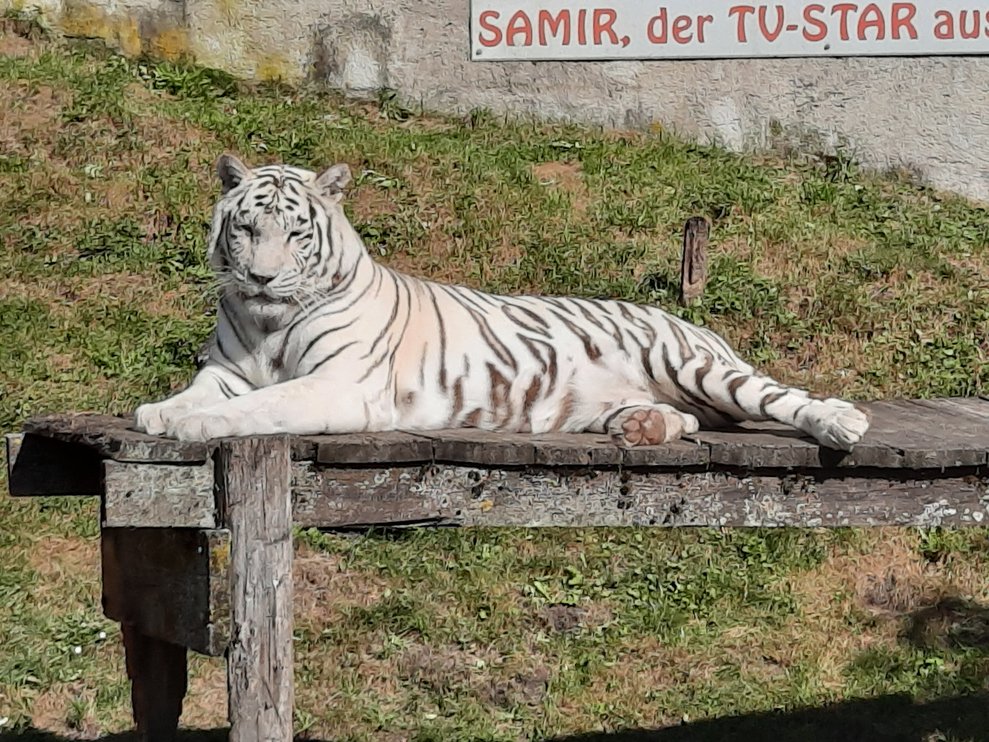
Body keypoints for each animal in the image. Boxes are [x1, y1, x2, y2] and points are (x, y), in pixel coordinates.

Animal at [133, 153, 871, 450]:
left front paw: (194, 426)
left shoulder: (339, 385)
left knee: (781, 398)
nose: (260, 278)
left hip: (694, 366)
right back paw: (643, 428)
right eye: (245, 228)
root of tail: (690, 321)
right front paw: (160, 413)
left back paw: (842, 422)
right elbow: (197, 394)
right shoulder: (224, 370)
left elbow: (263, 405)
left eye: (294, 233)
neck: (267, 321)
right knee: (689, 420)